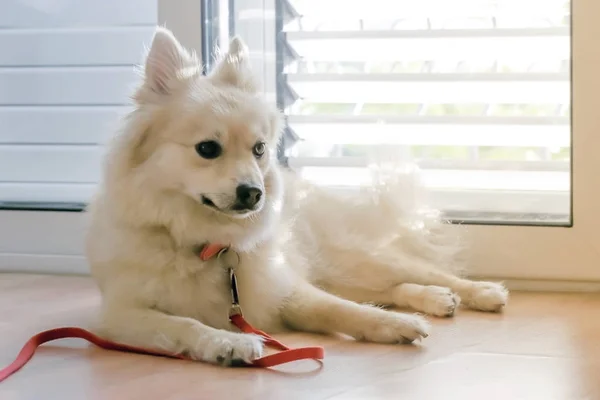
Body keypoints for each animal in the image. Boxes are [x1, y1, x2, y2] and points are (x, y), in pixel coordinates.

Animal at [83, 26, 506, 368]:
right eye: (207, 149)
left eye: (258, 149)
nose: (254, 193)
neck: (204, 243)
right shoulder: (120, 316)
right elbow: (184, 324)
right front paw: (228, 342)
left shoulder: (286, 291)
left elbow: (340, 309)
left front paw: (391, 323)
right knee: (390, 288)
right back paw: (437, 298)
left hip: (356, 261)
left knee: (412, 275)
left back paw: (478, 293)